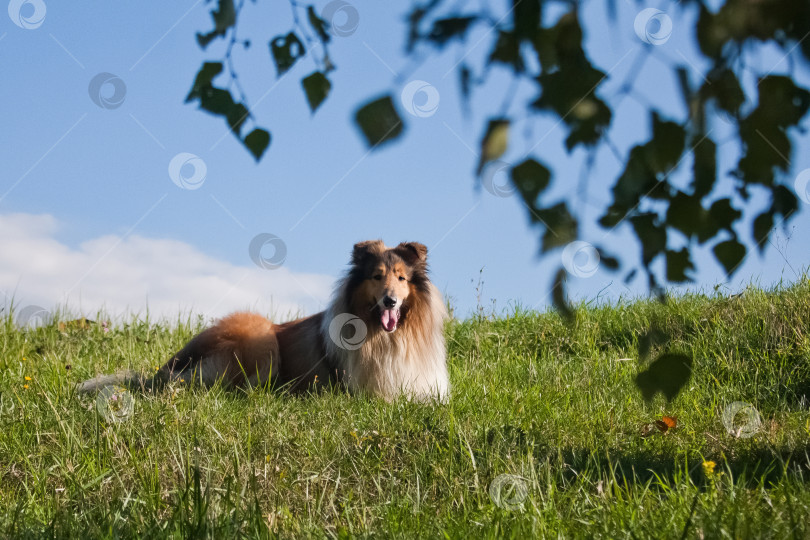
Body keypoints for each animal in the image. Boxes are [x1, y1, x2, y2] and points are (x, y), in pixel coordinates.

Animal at [77, 240, 448, 400]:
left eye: (401, 278)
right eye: (376, 276)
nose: (390, 300)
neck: (384, 336)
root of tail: (169, 366)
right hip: (260, 336)